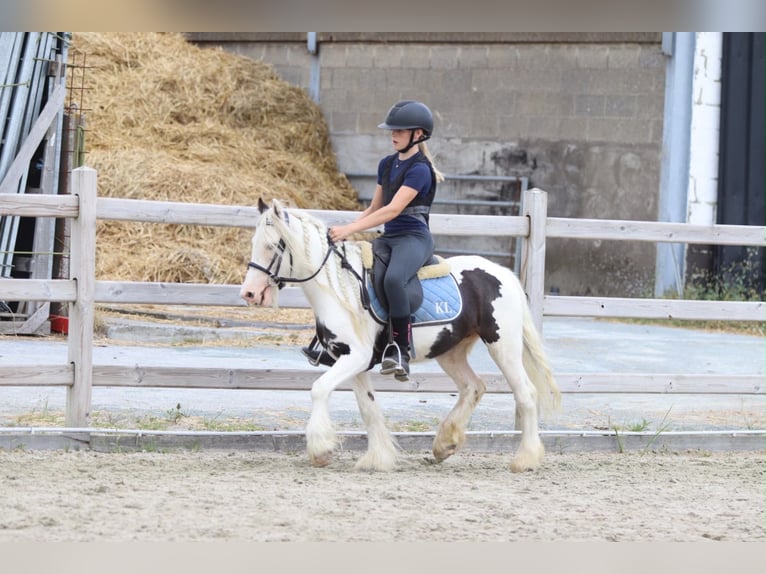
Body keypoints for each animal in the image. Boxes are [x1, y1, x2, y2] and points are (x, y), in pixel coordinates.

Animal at [240, 198, 561, 472]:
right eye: (254, 244)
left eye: (273, 246)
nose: (249, 293)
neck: (340, 290)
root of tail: (504, 274)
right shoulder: (353, 363)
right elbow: (368, 407)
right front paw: (377, 458)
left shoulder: (355, 357)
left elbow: (319, 389)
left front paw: (321, 450)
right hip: (451, 351)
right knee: (474, 387)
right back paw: (445, 445)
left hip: (502, 345)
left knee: (526, 393)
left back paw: (525, 459)